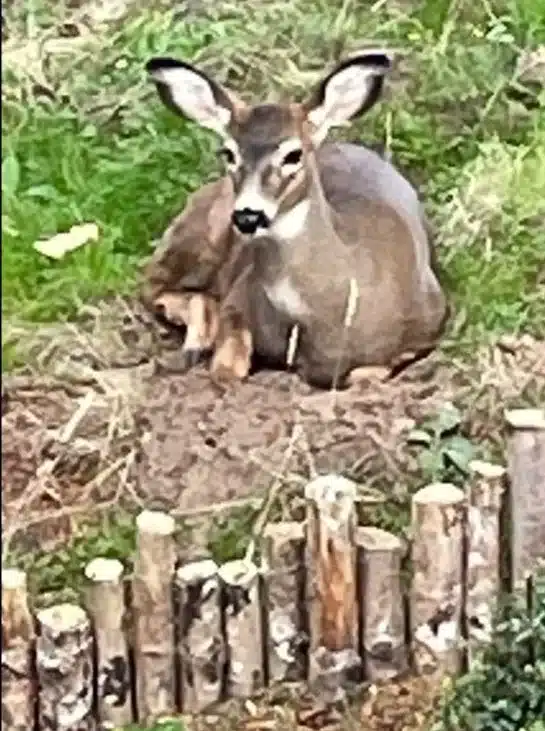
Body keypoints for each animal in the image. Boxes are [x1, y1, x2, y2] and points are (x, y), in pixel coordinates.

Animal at [143, 50, 446, 388]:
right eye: (229, 153)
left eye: (293, 154)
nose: (248, 215)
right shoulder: (238, 296)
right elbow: (227, 369)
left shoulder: (430, 326)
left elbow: (367, 373)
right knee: (154, 285)